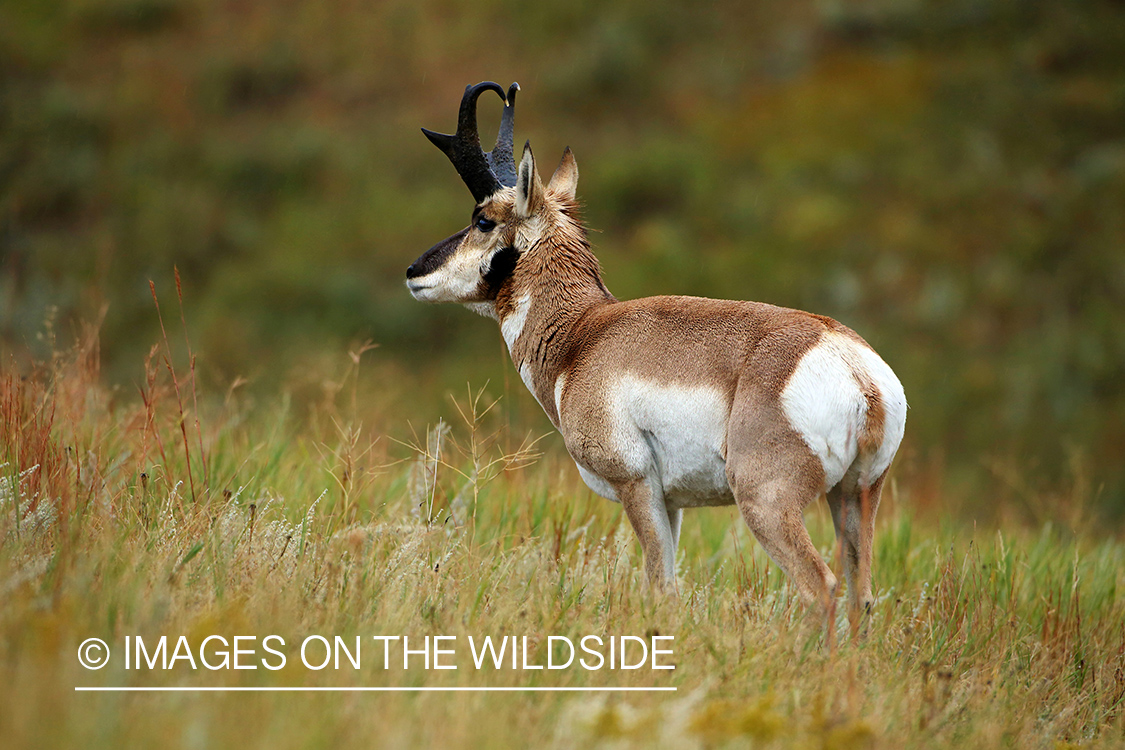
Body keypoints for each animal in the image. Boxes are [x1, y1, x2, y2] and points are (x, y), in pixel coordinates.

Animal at [405, 83, 904, 620]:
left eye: (482, 220)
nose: (413, 271)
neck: (582, 335)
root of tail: (859, 374)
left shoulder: (636, 484)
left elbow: (660, 586)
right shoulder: (673, 502)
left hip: (767, 503)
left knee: (822, 589)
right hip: (854, 498)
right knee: (861, 596)